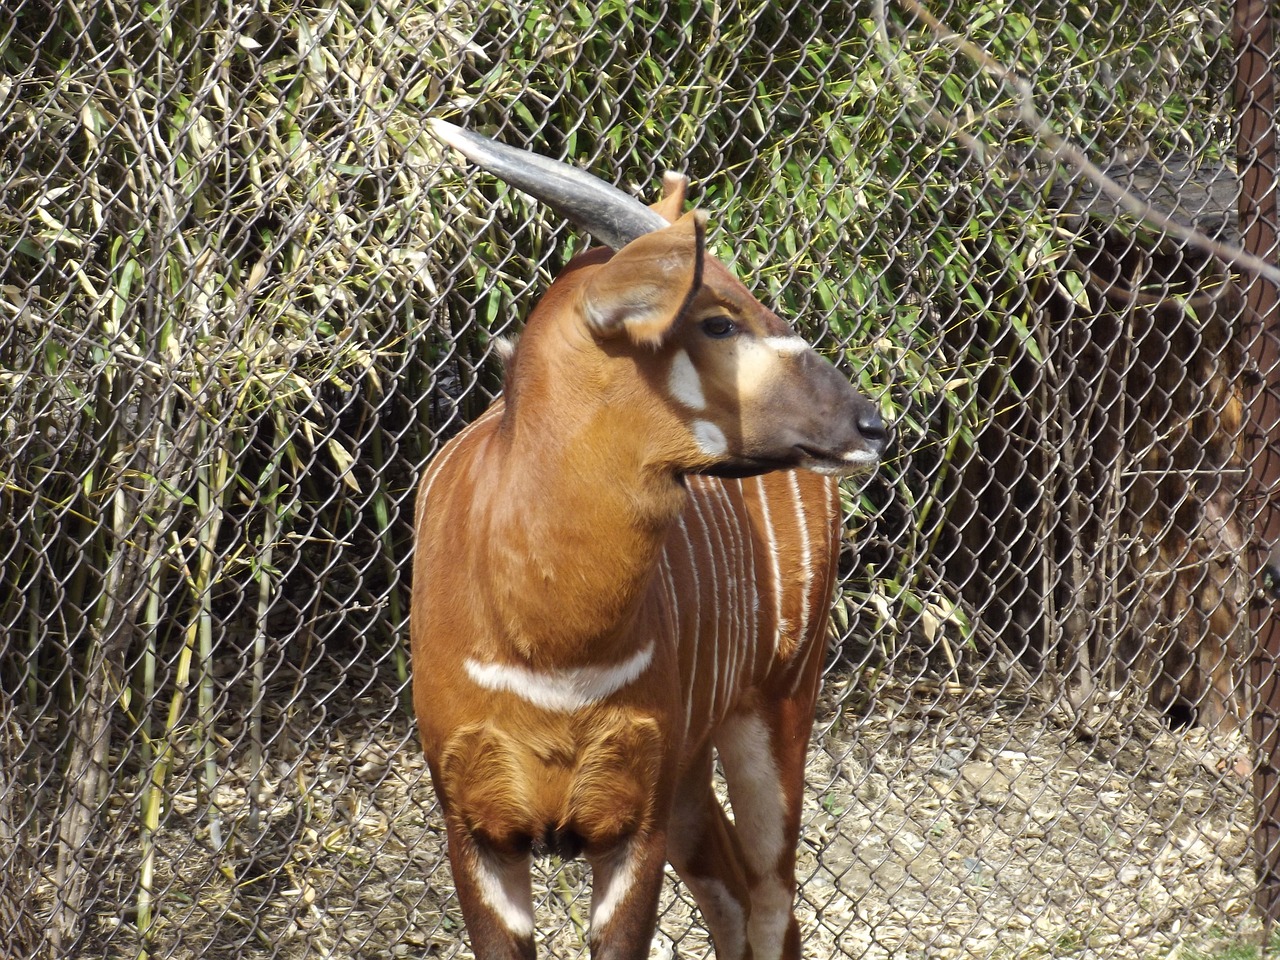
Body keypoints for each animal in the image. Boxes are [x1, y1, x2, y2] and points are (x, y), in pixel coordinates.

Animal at [414, 122, 885, 960]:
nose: (871, 423)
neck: (553, 648)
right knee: (736, 896)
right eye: (719, 320)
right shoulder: (478, 831)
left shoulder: (632, 830)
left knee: (772, 901)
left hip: (779, 705)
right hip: (693, 769)